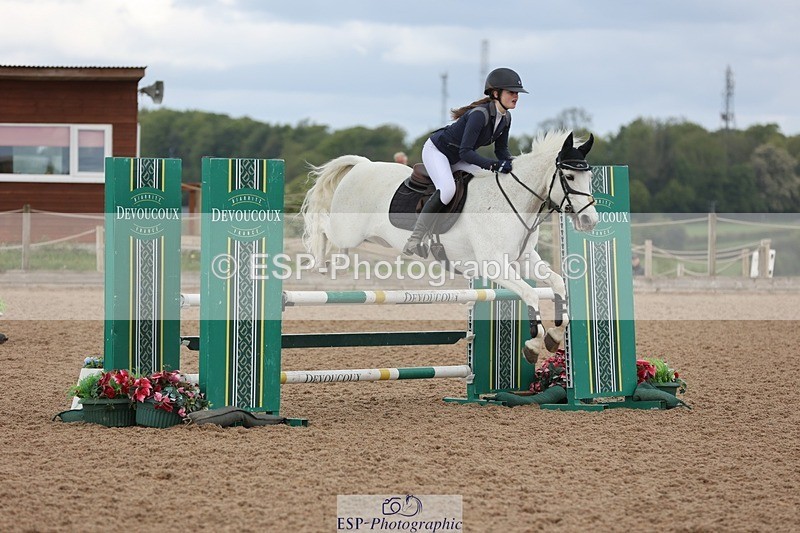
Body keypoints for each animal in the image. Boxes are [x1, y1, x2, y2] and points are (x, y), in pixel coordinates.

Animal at [300, 130, 598, 364]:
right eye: (569, 177)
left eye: (590, 177)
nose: (590, 221)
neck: (512, 200)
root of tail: (363, 165)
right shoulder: (495, 266)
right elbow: (532, 295)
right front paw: (533, 346)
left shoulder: (523, 259)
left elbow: (557, 284)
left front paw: (554, 336)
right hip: (347, 231)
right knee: (322, 225)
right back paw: (320, 261)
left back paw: (338, 263)